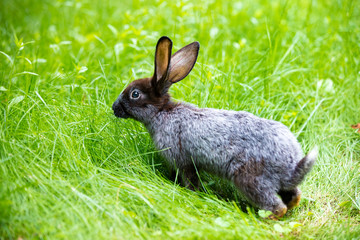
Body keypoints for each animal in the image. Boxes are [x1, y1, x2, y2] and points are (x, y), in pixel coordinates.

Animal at [112, 36, 318, 219]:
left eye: (135, 94)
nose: (114, 108)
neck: (162, 112)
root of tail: (291, 164)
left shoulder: (183, 160)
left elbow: (189, 178)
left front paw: (190, 192)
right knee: (294, 196)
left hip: (249, 178)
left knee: (277, 206)